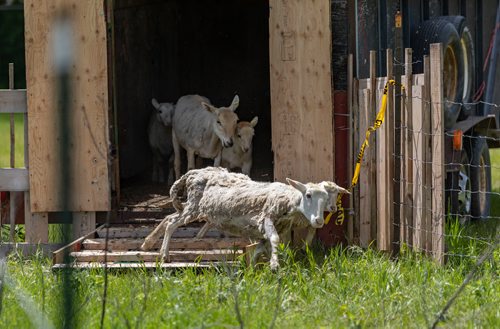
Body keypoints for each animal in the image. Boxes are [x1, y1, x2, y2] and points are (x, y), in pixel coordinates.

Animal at [142, 167, 348, 270]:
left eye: (327, 196)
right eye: (308, 196)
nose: (319, 221)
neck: (287, 201)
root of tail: (193, 173)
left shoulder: (269, 229)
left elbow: (261, 248)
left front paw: (255, 269)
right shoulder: (266, 218)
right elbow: (275, 240)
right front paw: (274, 265)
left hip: (193, 208)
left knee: (169, 217)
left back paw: (148, 243)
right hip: (193, 207)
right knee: (171, 224)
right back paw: (164, 255)